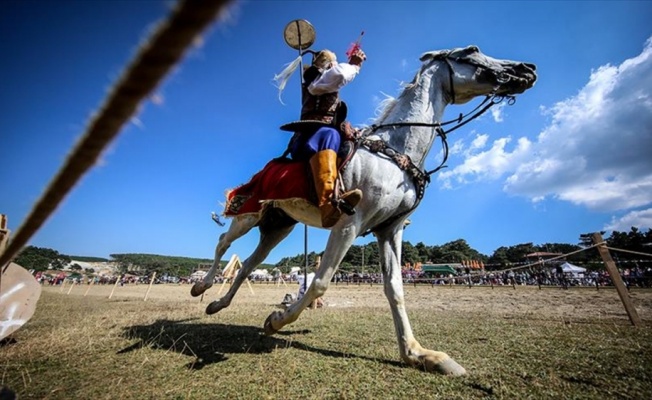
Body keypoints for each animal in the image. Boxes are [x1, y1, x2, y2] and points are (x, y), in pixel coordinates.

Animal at [191, 46, 536, 376]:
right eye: (471, 51)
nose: (526, 69)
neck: (395, 153)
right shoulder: (348, 224)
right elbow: (320, 282)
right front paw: (276, 319)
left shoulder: (389, 230)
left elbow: (395, 288)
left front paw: (418, 354)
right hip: (250, 215)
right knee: (224, 241)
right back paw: (201, 286)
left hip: (279, 226)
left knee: (249, 264)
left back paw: (217, 304)